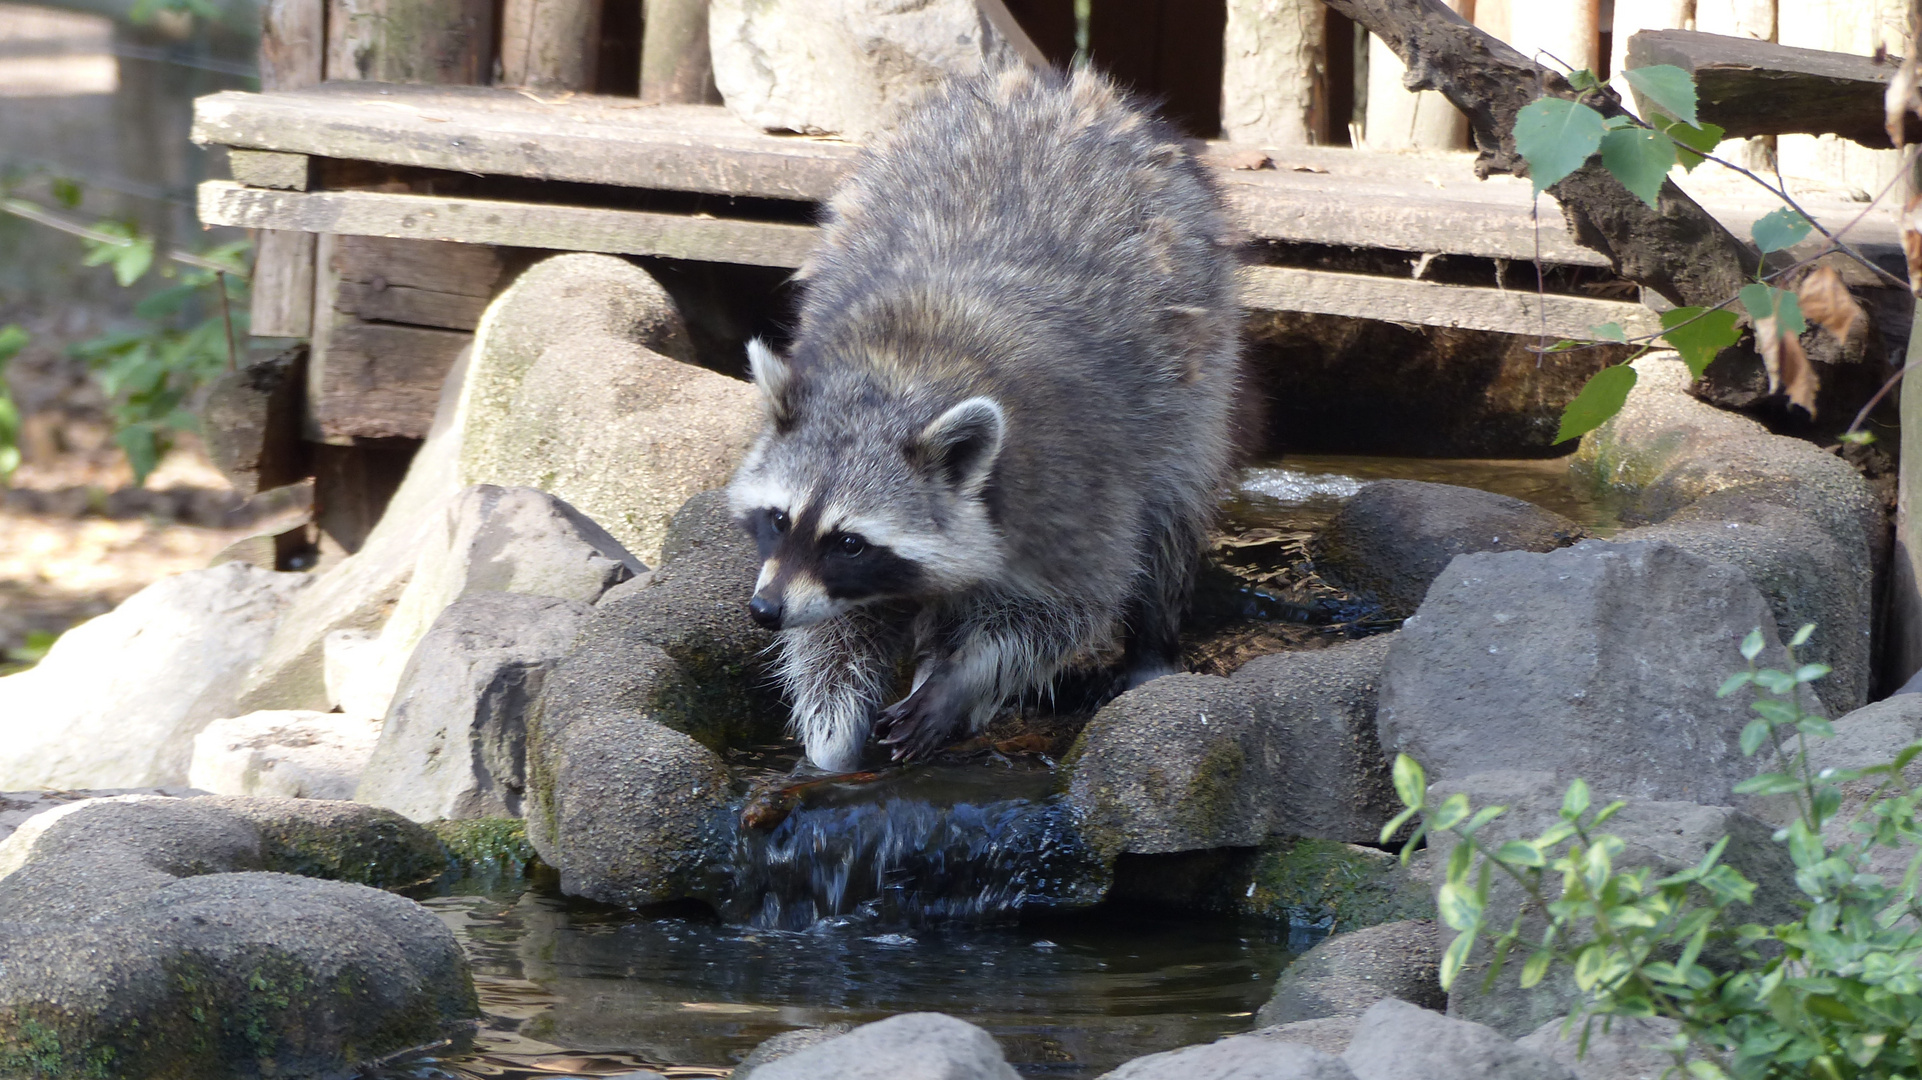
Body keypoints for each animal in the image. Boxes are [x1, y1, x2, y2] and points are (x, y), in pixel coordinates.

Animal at [722, 62, 1245, 768]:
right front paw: (832, 739)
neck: (903, 375)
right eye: (777, 518)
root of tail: (1058, 87)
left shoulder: (1070, 487)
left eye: (851, 542)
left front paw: (960, 678)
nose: (765, 611)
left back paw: (1150, 646)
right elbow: (836, 634)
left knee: (1172, 507)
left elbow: (1063, 610)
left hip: (1199, 363)